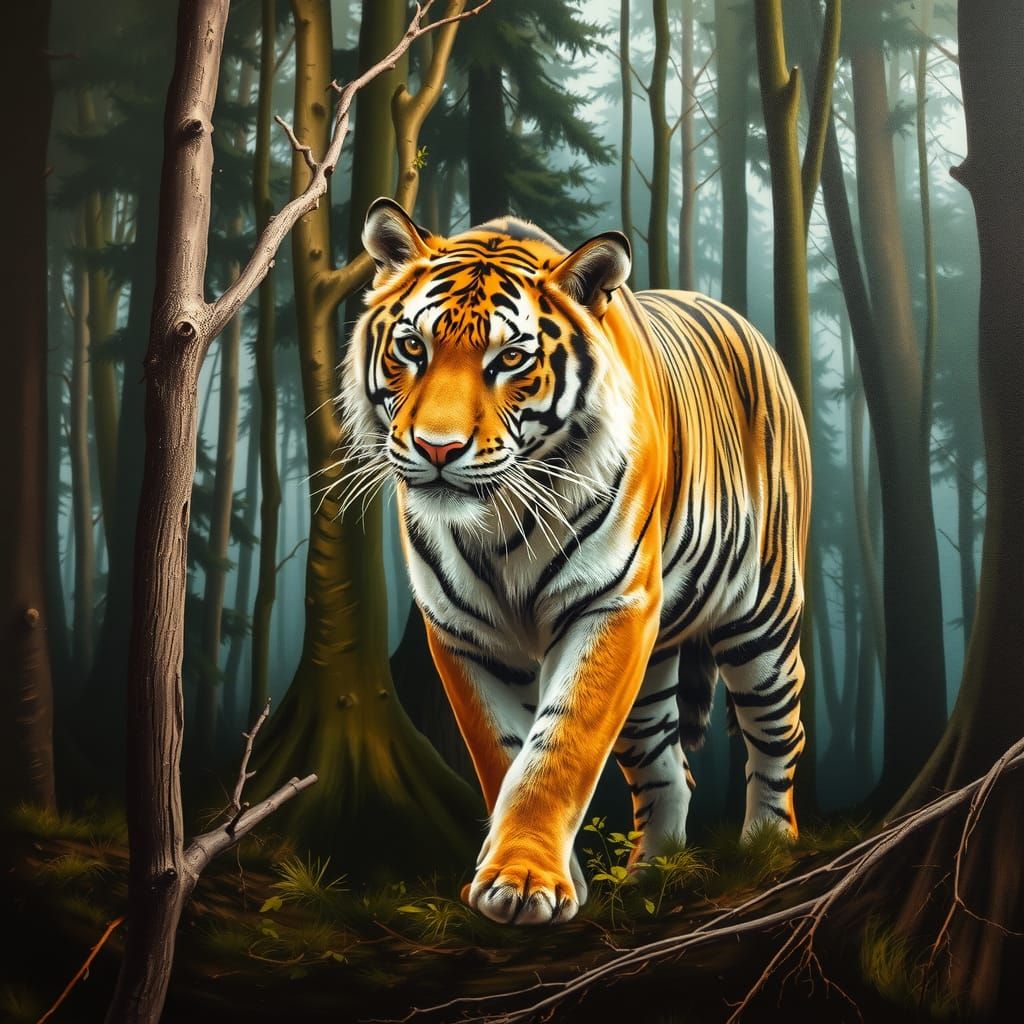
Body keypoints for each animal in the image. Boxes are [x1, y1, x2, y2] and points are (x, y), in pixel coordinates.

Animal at [341, 197, 811, 926]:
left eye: (510, 358)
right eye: (412, 347)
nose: (437, 448)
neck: (499, 520)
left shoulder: (612, 604)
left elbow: (562, 745)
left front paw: (526, 881)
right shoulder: (462, 629)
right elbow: (504, 754)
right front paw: (527, 875)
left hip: (761, 619)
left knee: (777, 735)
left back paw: (768, 848)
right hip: (652, 672)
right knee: (669, 770)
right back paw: (650, 878)